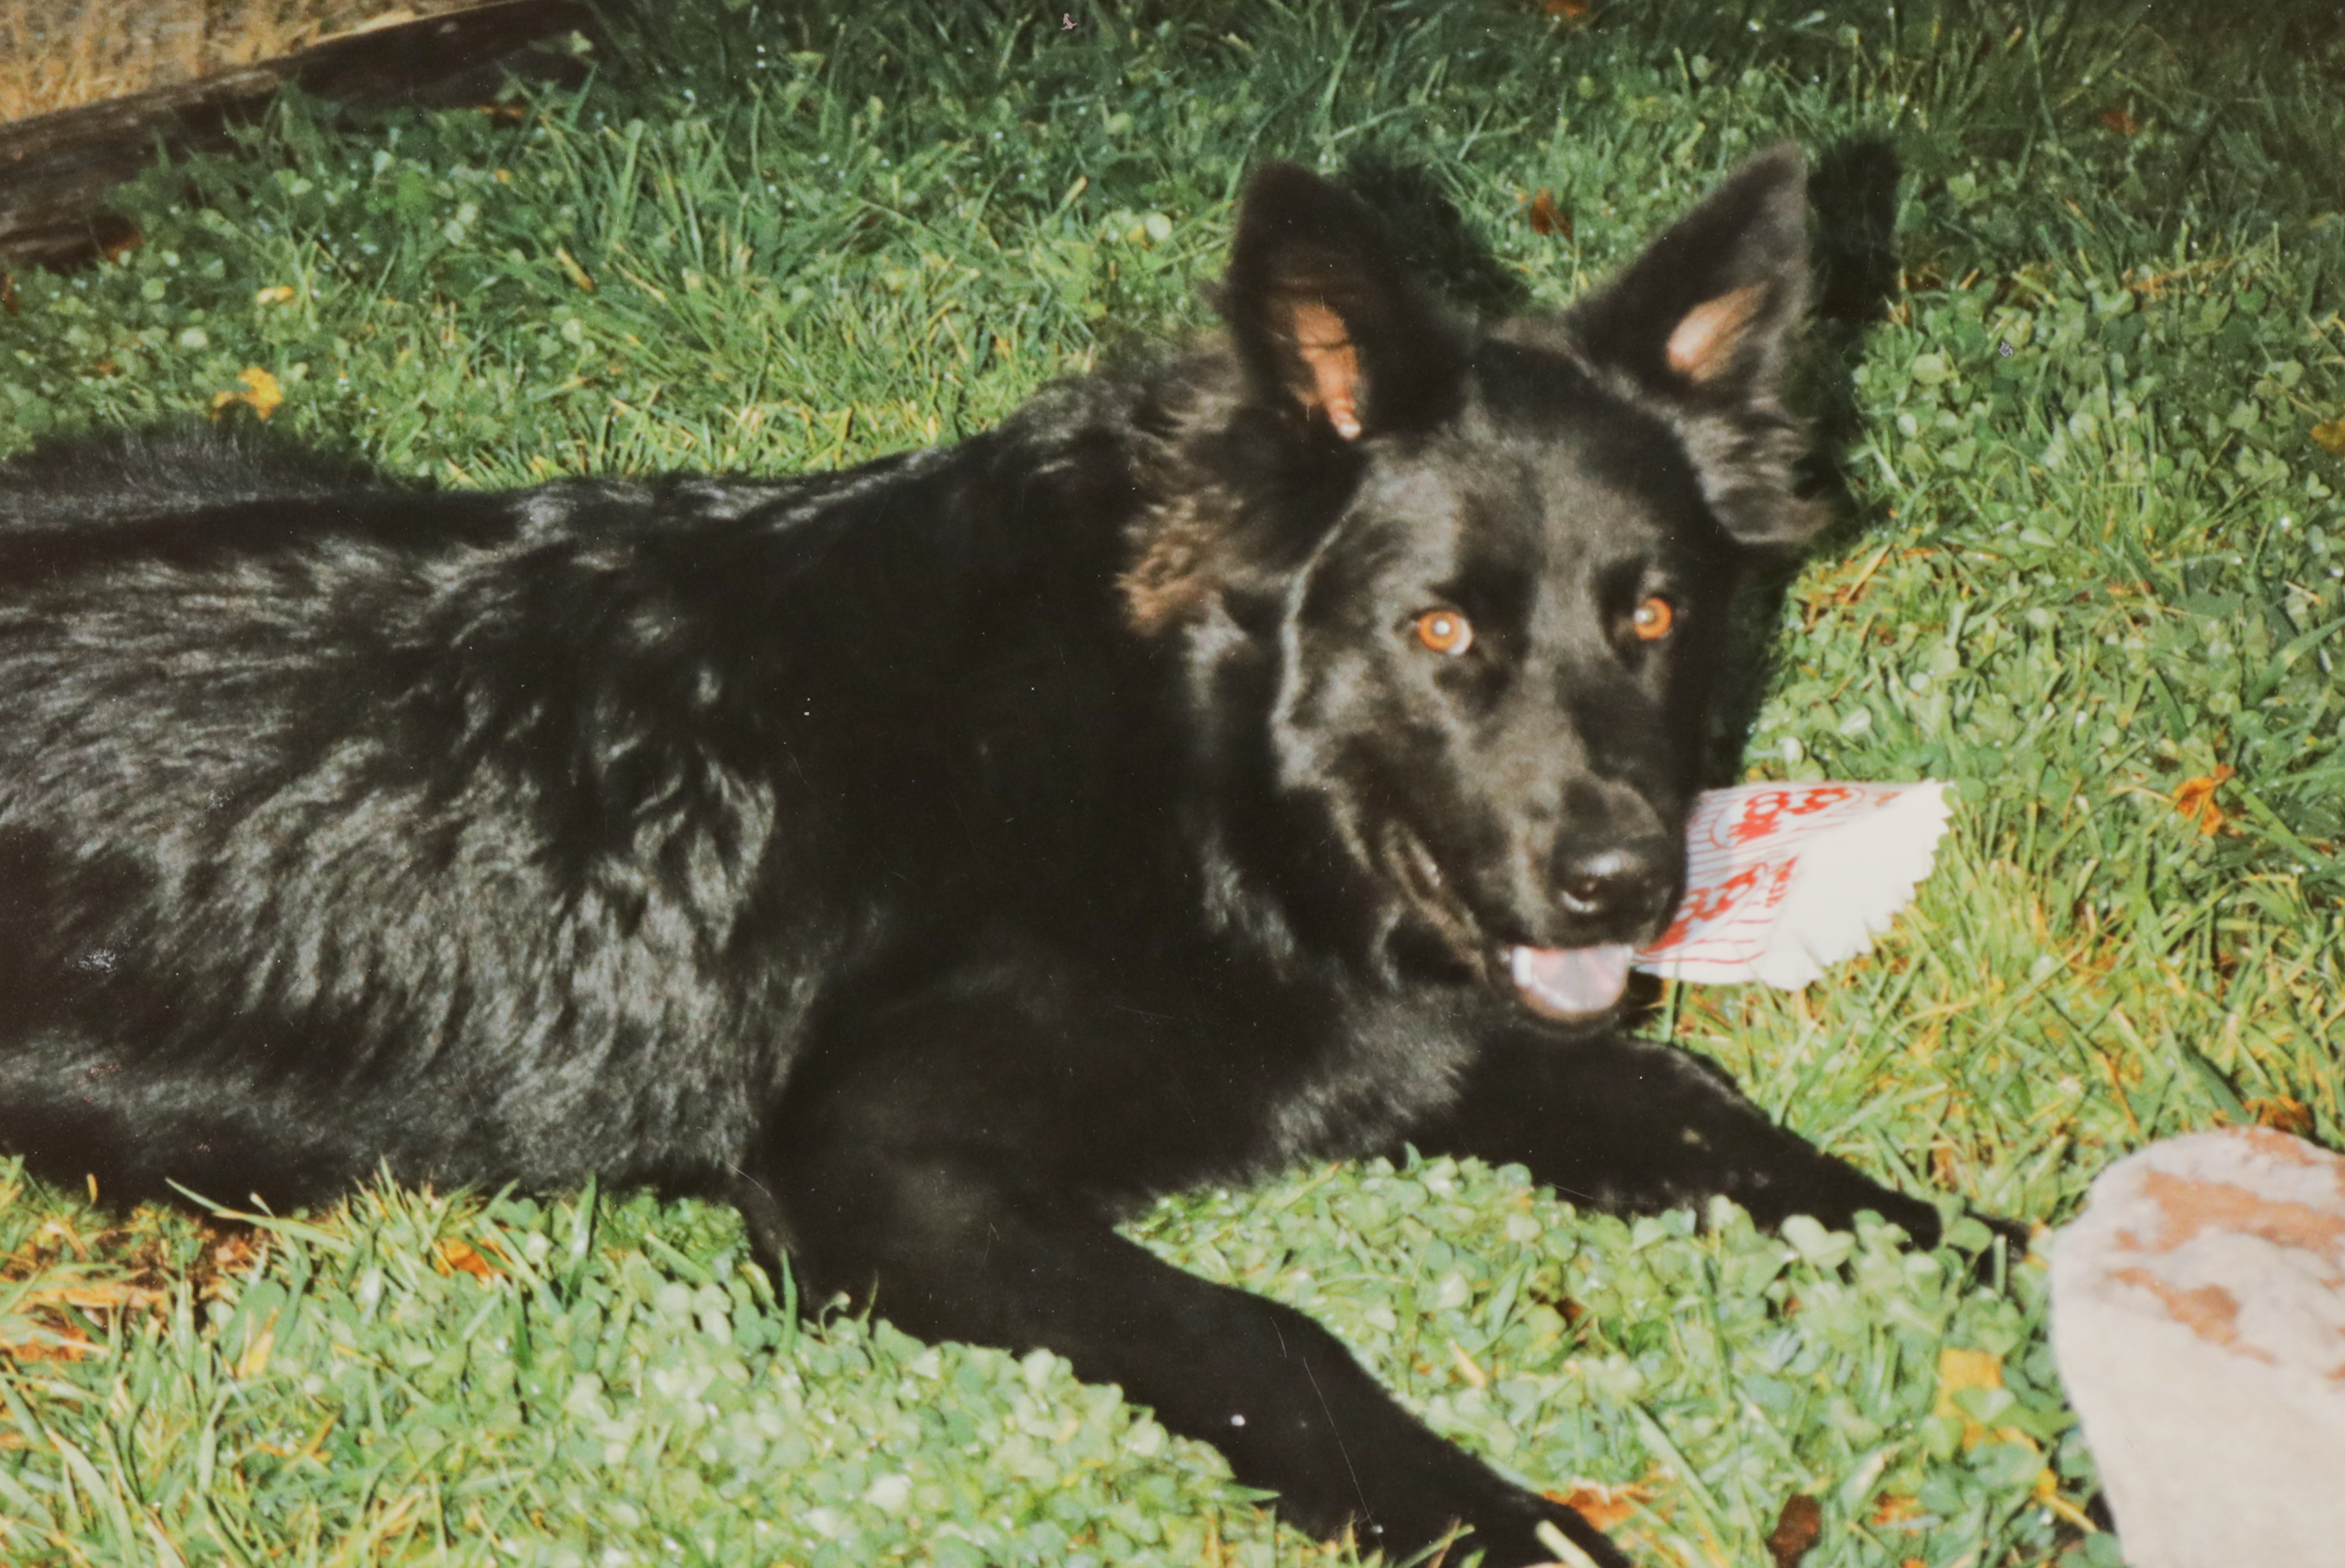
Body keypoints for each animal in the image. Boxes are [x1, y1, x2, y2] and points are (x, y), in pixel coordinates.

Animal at [0, 147, 1984, 1567]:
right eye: (1437, 631)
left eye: (1650, 613)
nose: (1625, 890)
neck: (1186, 773)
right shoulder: (880, 1161)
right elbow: (1268, 1334)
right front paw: (1489, 1513)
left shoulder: (1441, 1033)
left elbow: (1720, 1122)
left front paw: (2000, 1256)